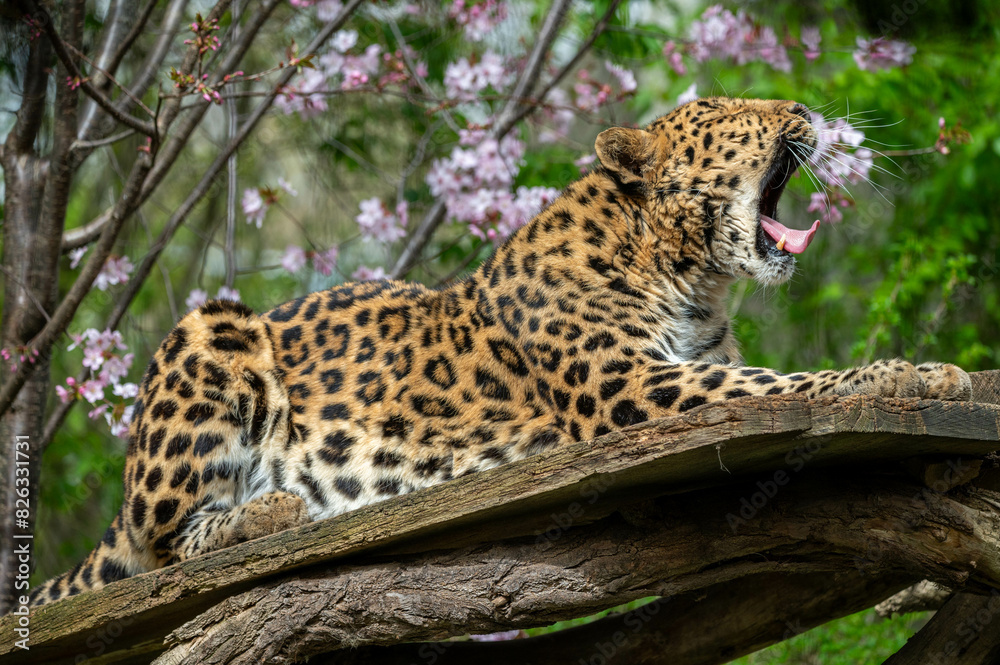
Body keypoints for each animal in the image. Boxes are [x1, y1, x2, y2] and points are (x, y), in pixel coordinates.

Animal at [30, 97, 972, 607]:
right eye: (741, 117)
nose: (805, 113)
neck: (686, 271)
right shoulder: (634, 389)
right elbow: (784, 386)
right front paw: (910, 371)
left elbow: (771, 377)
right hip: (211, 331)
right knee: (161, 547)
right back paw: (273, 509)